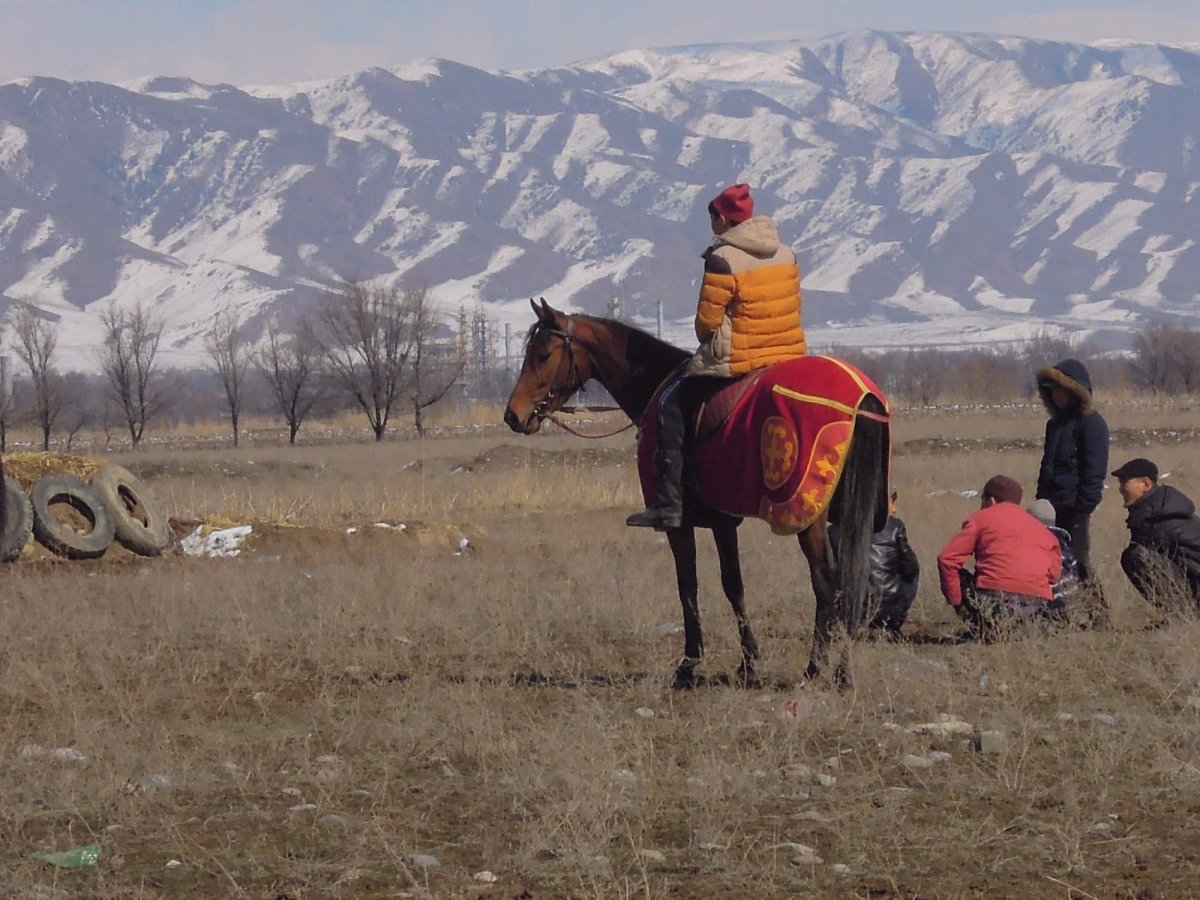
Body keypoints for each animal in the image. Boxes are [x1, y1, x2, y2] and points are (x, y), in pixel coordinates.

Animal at [503, 299, 891, 688]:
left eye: (543, 353)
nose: (513, 416)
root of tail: (860, 397)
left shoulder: (679, 524)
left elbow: (688, 585)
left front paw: (689, 664)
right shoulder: (723, 521)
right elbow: (734, 584)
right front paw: (748, 662)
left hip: (807, 516)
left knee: (828, 580)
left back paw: (816, 668)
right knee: (853, 580)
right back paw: (842, 671)